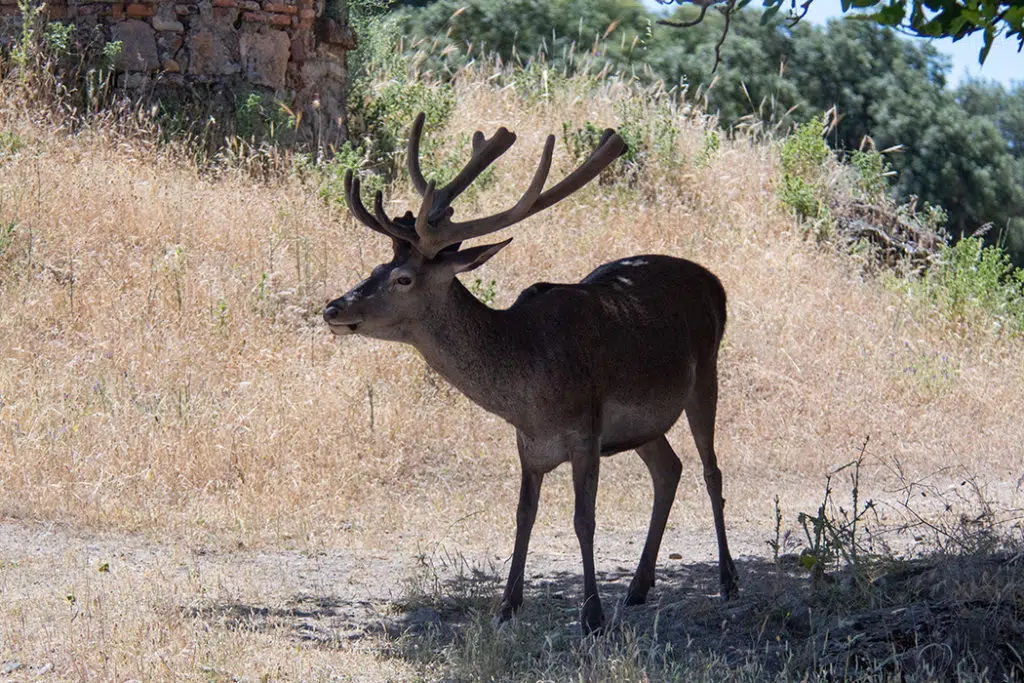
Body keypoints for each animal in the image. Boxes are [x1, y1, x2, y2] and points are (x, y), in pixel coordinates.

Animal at [323, 113, 738, 635]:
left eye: (403, 278)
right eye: (378, 266)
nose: (332, 308)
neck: (527, 388)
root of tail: (715, 281)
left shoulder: (586, 430)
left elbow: (584, 519)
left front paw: (591, 614)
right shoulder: (528, 442)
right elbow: (524, 513)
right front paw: (507, 605)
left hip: (706, 373)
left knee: (711, 469)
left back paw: (727, 580)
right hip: (644, 424)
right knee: (670, 468)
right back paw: (639, 587)